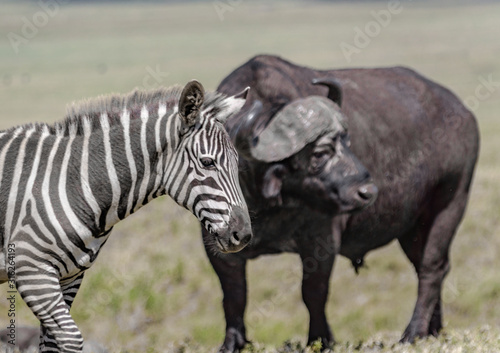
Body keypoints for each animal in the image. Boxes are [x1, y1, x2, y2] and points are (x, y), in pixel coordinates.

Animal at [0, 80, 252, 352]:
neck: (74, 182)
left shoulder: (70, 276)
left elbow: (51, 344)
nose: (243, 235)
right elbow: (70, 338)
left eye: (237, 161)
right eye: (207, 162)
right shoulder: (31, 269)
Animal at [203, 54, 480, 350]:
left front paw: (320, 339)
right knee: (426, 268)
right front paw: (233, 342)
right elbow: (234, 295)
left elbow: (313, 292)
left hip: (449, 205)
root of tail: (464, 115)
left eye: (346, 142)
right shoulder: (217, 248)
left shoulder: (322, 242)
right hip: (412, 229)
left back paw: (413, 333)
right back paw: (434, 331)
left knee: (432, 269)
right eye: (320, 153)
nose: (367, 191)